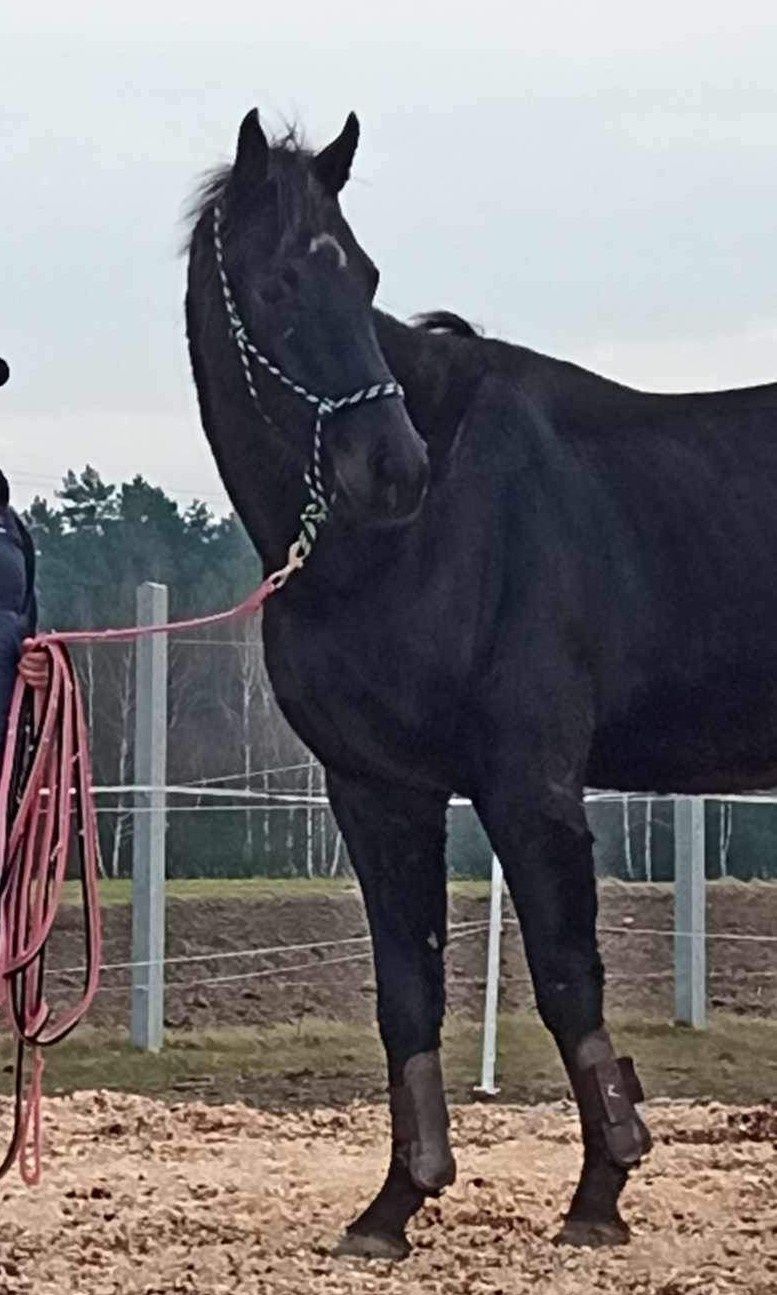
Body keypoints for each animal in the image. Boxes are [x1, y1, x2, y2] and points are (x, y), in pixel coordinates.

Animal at [186, 111, 777, 1253]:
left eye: (363, 272)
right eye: (279, 283)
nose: (392, 468)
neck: (415, 542)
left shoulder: (526, 780)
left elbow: (565, 974)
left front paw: (600, 1191)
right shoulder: (377, 792)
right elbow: (407, 991)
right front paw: (393, 1201)